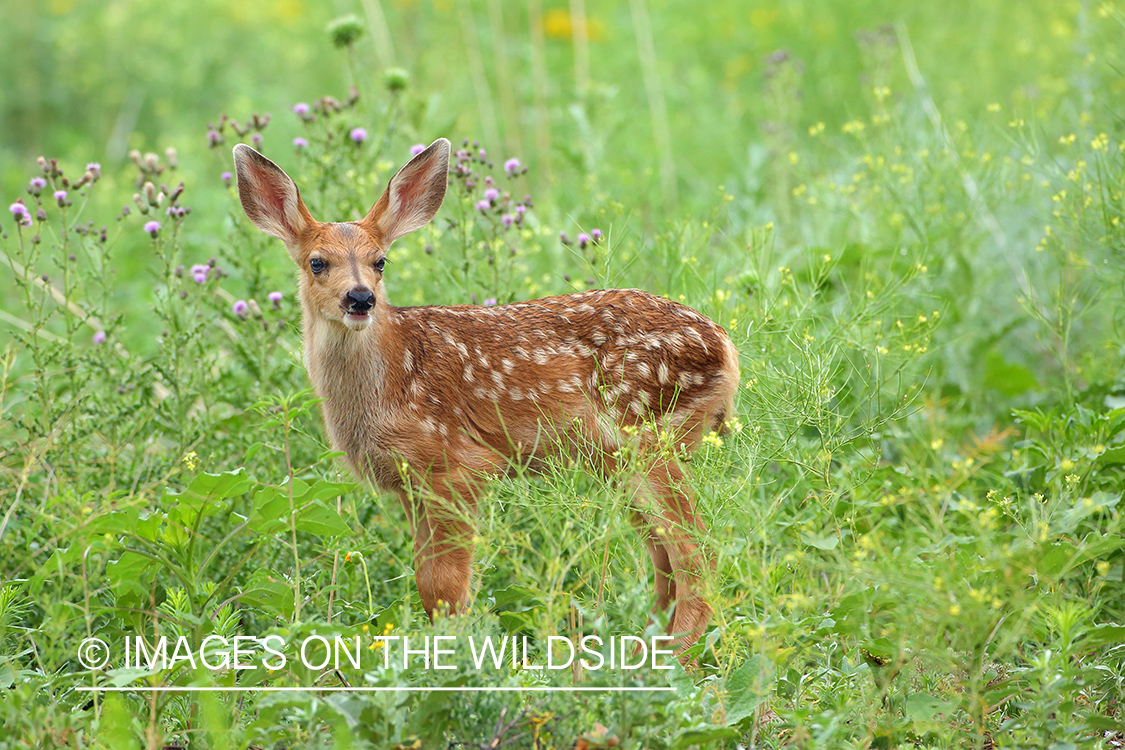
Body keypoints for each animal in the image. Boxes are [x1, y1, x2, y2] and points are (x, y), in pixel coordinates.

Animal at [232, 138, 740, 659]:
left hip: (652, 434)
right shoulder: (411, 485)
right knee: (665, 557)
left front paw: (459, 657)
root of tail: (725, 344)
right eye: (317, 262)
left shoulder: (456, 465)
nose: (359, 298)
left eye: (380, 261)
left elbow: (442, 587)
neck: (392, 375)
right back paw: (636, 655)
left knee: (699, 550)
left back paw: (672, 659)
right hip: (620, 460)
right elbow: (427, 581)